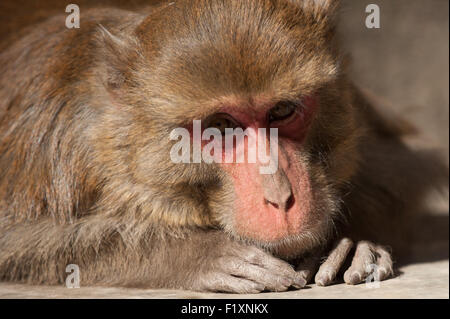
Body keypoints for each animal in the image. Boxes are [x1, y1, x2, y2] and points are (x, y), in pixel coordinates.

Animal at [0, 0, 444, 296]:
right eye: (221, 127)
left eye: (282, 110)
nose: (280, 196)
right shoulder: (55, 147)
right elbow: (17, 244)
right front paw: (197, 255)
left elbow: (406, 173)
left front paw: (345, 244)